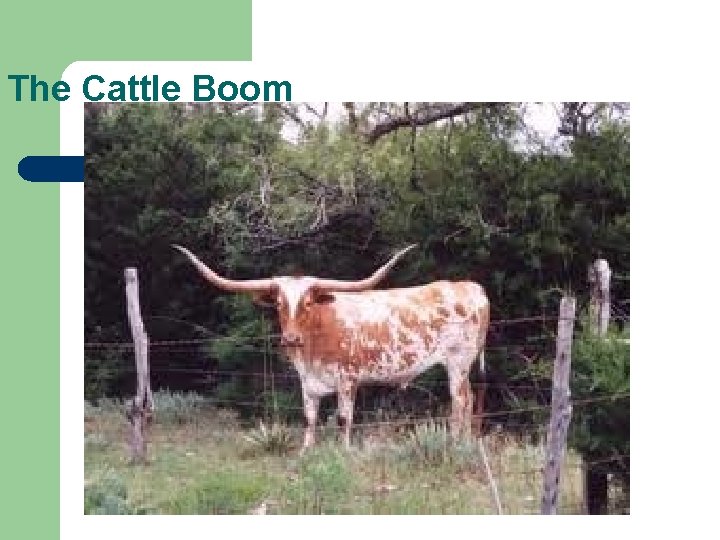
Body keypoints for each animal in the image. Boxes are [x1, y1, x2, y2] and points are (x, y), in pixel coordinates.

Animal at [173, 244, 490, 449]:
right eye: (278, 303)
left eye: (308, 302)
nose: (291, 339)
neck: (313, 345)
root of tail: (471, 287)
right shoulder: (307, 382)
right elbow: (310, 418)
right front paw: (306, 452)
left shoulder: (348, 380)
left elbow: (342, 418)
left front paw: (344, 452)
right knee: (470, 398)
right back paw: (466, 441)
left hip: (458, 363)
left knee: (460, 401)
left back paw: (455, 442)